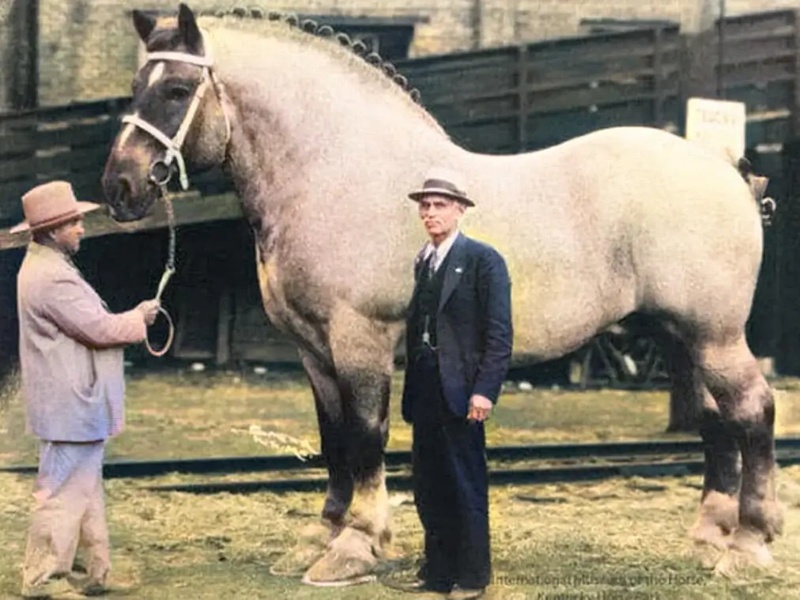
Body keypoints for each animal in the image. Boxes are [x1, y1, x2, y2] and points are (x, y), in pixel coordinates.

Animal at [101, 3, 781, 584]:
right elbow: (332, 438)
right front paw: (321, 536)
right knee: (716, 421)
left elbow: (365, 435)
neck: (336, 172)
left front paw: (356, 545)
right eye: (135, 86)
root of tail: (726, 171)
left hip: (714, 335)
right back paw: (709, 537)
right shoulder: (313, 351)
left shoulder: (360, 339)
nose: (120, 187)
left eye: (176, 90)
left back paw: (749, 544)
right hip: (679, 336)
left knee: (753, 410)